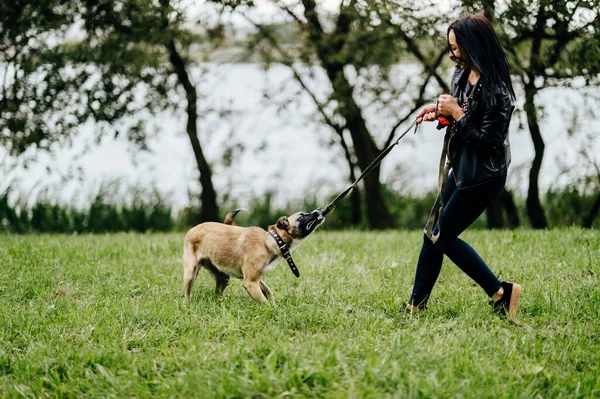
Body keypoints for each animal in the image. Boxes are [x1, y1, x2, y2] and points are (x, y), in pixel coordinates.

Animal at [183, 208, 324, 304]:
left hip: (223, 278)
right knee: (187, 294)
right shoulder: (250, 282)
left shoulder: (256, 280)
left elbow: (269, 292)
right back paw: (187, 306)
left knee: (217, 293)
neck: (271, 240)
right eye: (302, 216)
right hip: (191, 273)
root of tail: (192, 229)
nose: (320, 210)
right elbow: (265, 303)